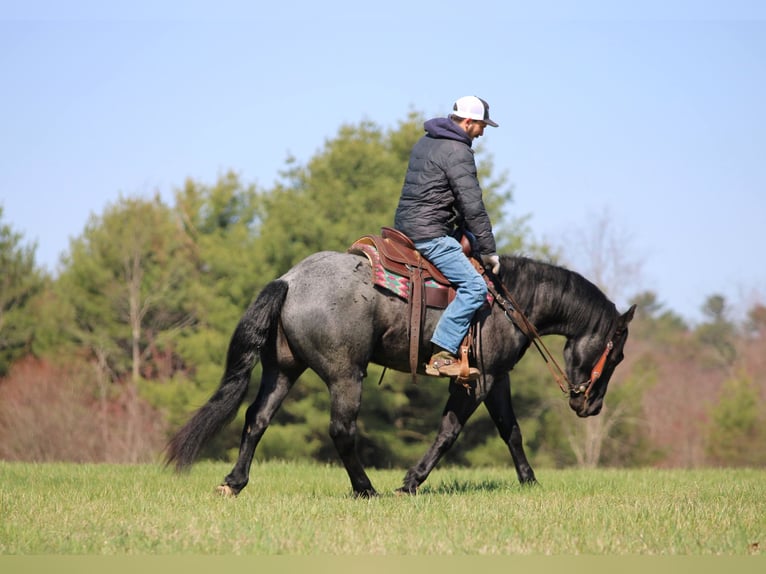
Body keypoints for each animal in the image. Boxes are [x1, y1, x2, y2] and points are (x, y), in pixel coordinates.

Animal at [166, 250, 636, 496]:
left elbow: (511, 431)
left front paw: (529, 481)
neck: (506, 301)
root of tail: (290, 281)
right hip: (345, 375)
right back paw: (366, 489)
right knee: (342, 430)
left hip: (282, 370)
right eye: (616, 355)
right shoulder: (476, 382)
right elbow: (448, 432)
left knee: (256, 419)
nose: (590, 406)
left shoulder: (497, 378)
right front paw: (410, 482)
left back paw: (234, 482)